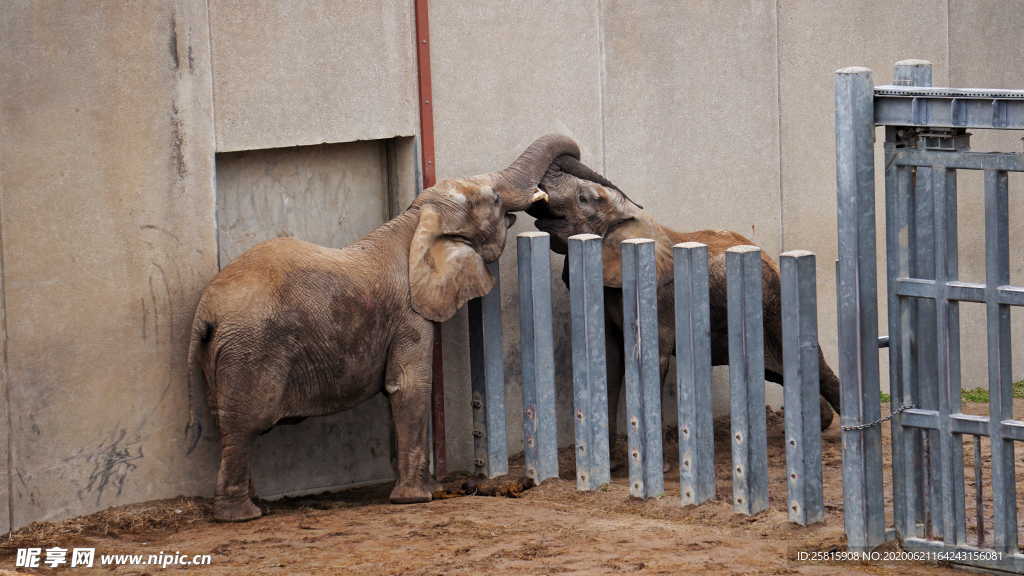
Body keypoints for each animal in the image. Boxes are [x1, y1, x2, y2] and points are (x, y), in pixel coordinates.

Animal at [187, 133, 581, 520]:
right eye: (495, 199)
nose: (547, 197)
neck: (416, 221)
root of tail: (206, 312)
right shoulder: (409, 314)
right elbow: (409, 386)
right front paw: (419, 498)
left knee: (229, 424)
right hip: (251, 350)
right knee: (244, 426)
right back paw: (242, 516)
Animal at [528, 154, 839, 459]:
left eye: (583, 198)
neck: (631, 220)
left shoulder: (657, 296)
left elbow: (652, 357)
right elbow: (611, 358)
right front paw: (613, 463)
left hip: (774, 308)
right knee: (779, 372)